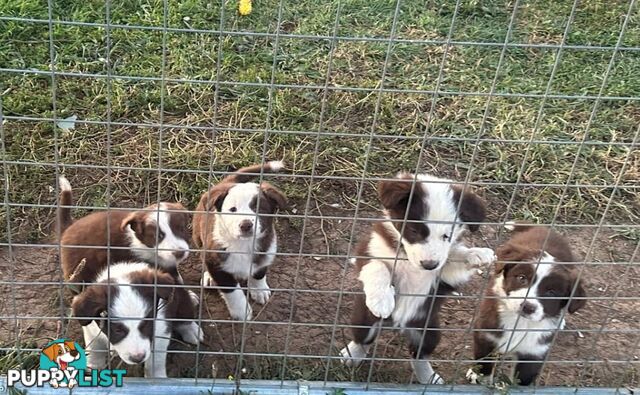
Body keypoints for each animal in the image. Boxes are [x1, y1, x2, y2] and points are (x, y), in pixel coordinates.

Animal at [70, 262, 200, 378]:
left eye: (146, 324)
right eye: (117, 330)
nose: (138, 358)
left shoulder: (161, 328)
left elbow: (156, 360)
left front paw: (156, 377)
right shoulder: (90, 326)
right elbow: (94, 347)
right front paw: (92, 367)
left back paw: (191, 329)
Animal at [192, 161, 288, 322]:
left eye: (259, 208)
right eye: (233, 209)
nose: (245, 225)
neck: (243, 244)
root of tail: (227, 182)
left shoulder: (266, 251)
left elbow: (259, 272)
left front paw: (259, 290)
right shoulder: (216, 262)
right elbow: (233, 291)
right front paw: (242, 311)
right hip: (198, 235)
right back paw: (209, 278)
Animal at [338, 173, 498, 384]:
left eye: (447, 236)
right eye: (414, 231)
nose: (429, 265)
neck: (407, 257)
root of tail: (398, 326)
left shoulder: (444, 276)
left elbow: (454, 256)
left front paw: (477, 254)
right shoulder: (368, 251)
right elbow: (377, 267)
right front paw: (382, 300)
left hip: (428, 331)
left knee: (418, 355)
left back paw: (429, 377)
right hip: (363, 318)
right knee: (363, 340)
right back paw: (352, 355)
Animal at [468, 224, 588, 386]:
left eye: (551, 292)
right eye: (521, 278)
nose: (527, 307)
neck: (520, 323)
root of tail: (545, 229)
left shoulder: (535, 351)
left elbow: (523, 379)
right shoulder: (486, 333)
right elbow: (484, 360)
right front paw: (477, 376)